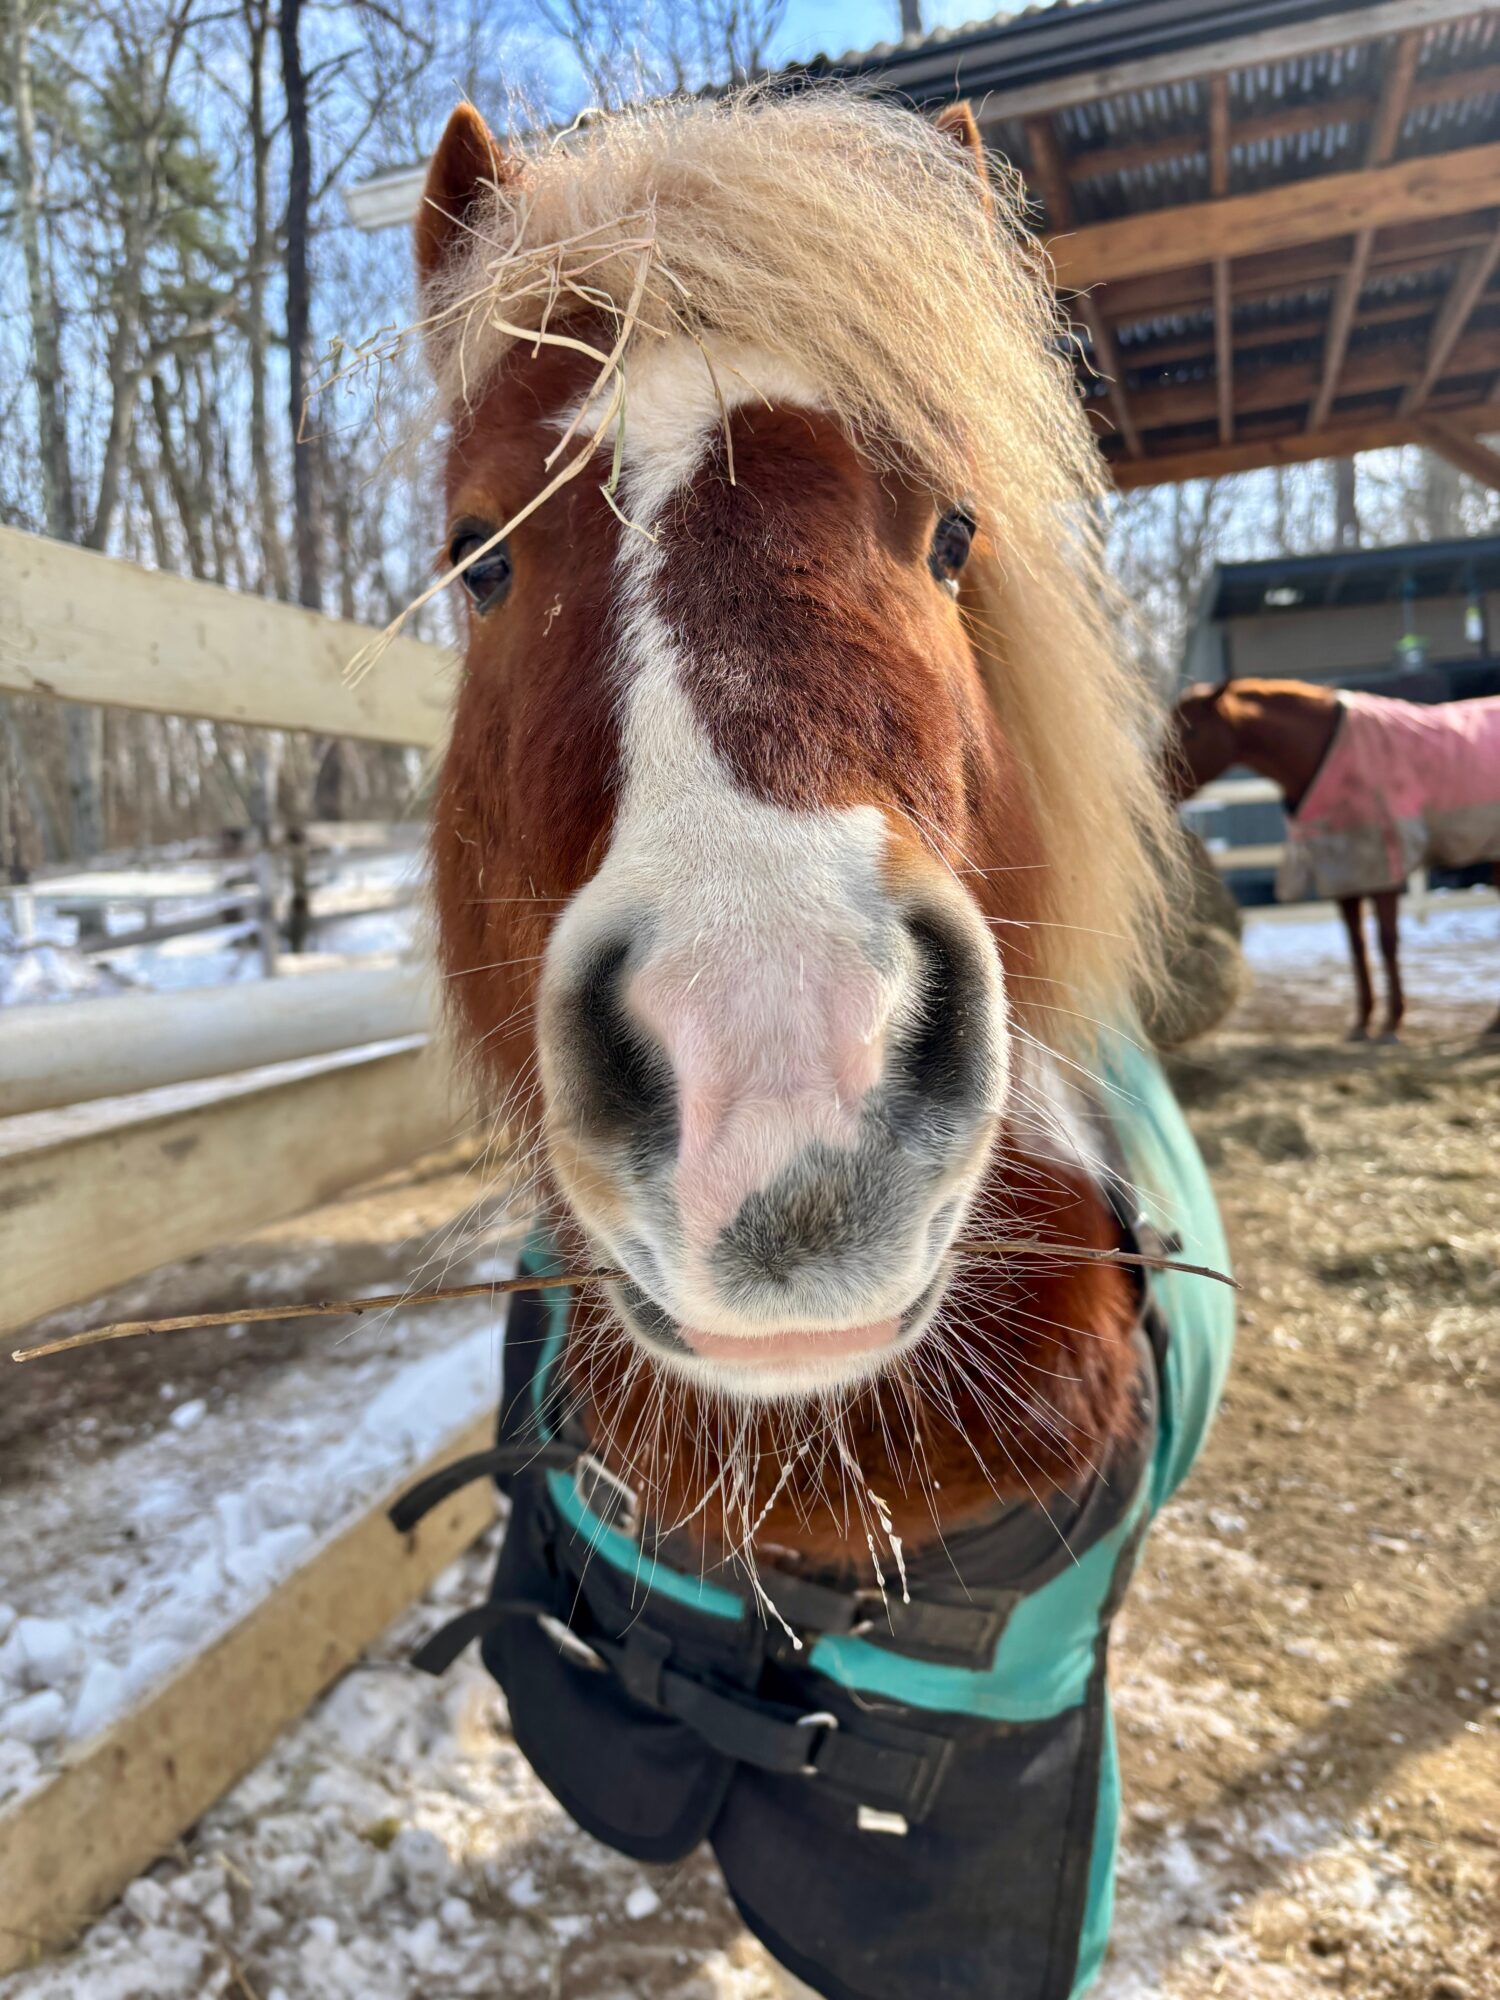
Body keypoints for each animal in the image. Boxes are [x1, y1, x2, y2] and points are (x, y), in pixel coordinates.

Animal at [1170, 677, 1500, 1041]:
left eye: (1191, 731)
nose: (1159, 782)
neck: (1327, 756)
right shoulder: (1343, 874)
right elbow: (1356, 946)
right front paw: (1362, 1023)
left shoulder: (1381, 869)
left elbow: (1386, 942)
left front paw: (1391, 1023)